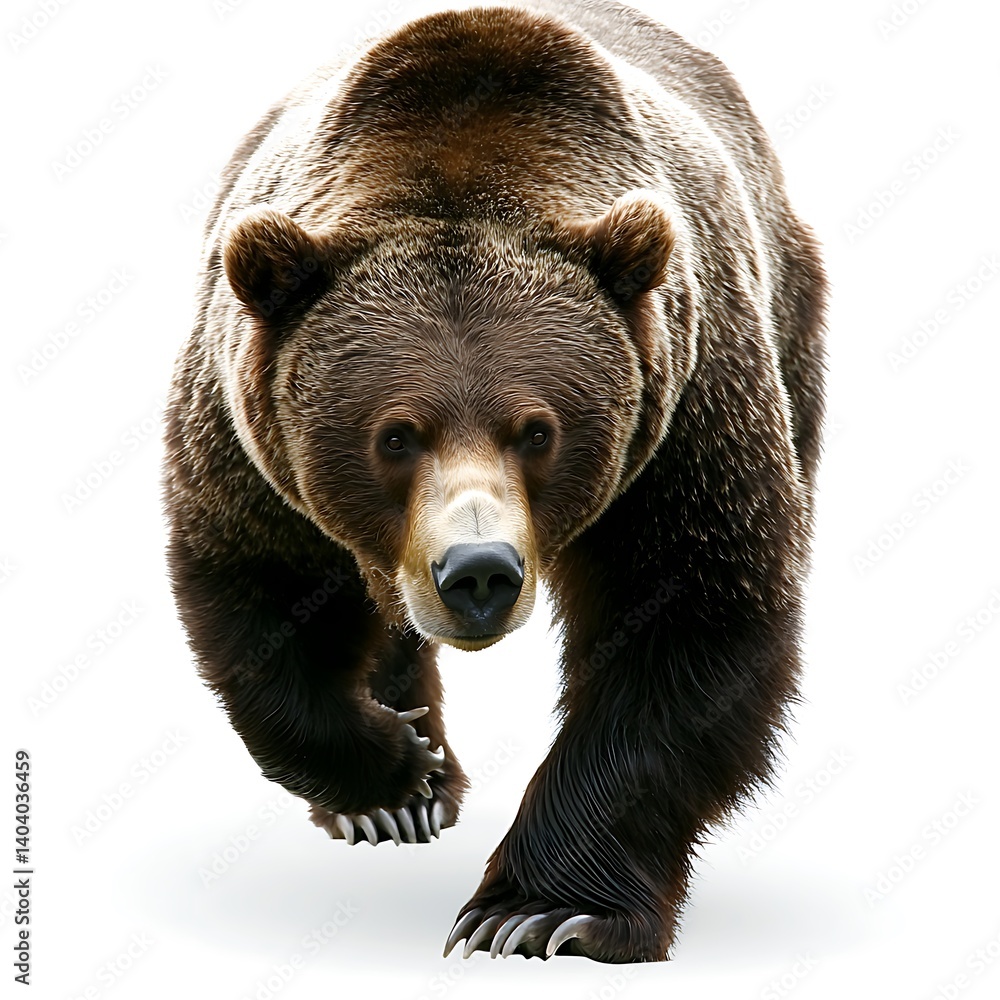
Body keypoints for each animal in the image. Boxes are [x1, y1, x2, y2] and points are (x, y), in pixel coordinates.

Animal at [163, 0, 826, 964]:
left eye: (537, 431)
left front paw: (539, 912)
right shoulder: (251, 435)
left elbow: (688, 627)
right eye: (395, 436)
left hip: (789, 321)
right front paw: (397, 778)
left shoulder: (685, 415)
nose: (478, 572)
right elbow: (264, 597)